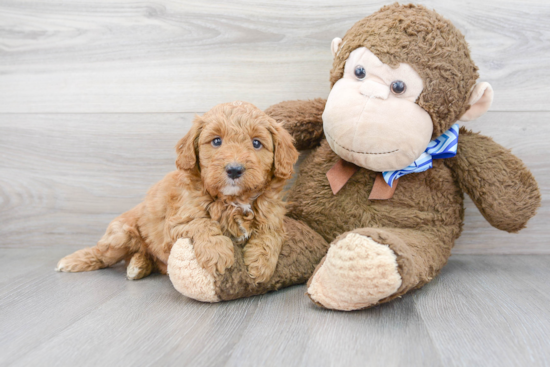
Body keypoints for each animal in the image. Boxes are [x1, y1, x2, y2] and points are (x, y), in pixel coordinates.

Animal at [56, 102, 300, 284]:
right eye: (217, 141)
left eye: (257, 143)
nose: (234, 169)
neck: (233, 200)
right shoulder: (178, 220)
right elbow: (202, 223)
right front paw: (217, 253)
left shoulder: (273, 217)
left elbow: (270, 235)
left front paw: (261, 265)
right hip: (121, 235)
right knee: (102, 254)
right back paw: (75, 260)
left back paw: (138, 266)